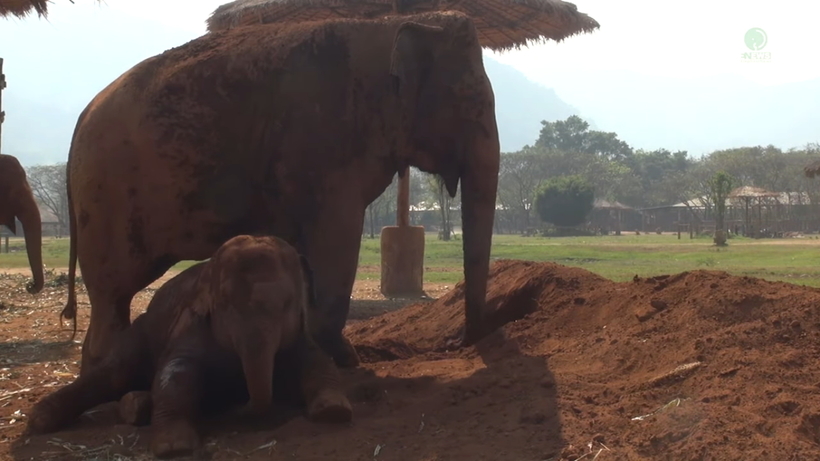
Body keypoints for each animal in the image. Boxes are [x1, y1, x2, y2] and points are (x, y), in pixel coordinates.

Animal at [24, 235, 352, 458]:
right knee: (113, 374)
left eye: (287, 304)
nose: (239, 404)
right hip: (140, 335)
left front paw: (333, 412)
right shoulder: (191, 323)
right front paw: (174, 447)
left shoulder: (297, 331)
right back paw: (41, 419)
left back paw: (137, 406)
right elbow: (178, 371)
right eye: (225, 304)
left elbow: (315, 359)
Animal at [62, 9, 500, 374]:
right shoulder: (323, 148)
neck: (391, 25)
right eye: (471, 100)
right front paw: (346, 361)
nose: (459, 343)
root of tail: (82, 116)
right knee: (112, 295)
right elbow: (336, 241)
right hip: (108, 200)